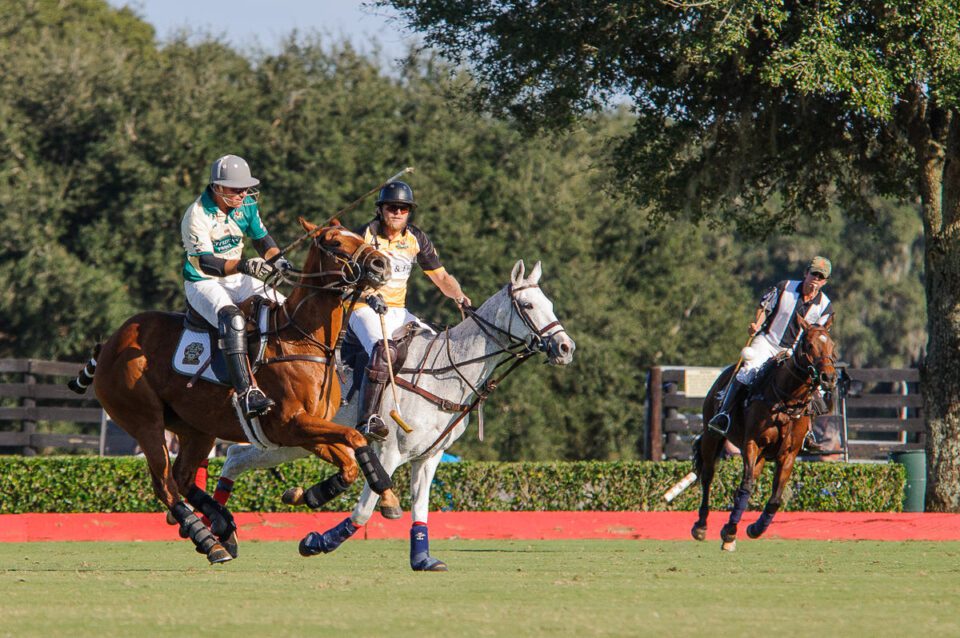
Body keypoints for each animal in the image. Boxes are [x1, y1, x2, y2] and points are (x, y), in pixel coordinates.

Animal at [70, 221, 394, 564]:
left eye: (359, 237)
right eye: (334, 242)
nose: (381, 265)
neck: (304, 340)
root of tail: (110, 344)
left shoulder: (306, 430)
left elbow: (348, 462)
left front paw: (307, 494)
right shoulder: (290, 424)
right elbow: (354, 437)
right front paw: (378, 485)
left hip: (196, 428)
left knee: (183, 476)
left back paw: (222, 524)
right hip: (145, 421)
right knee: (165, 484)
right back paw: (209, 540)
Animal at [219, 260, 568, 568]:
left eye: (550, 303)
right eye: (528, 305)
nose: (566, 347)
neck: (446, 373)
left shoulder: (428, 457)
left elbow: (421, 509)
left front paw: (423, 559)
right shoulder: (389, 451)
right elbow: (365, 509)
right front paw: (315, 542)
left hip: (287, 442)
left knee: (236, 456)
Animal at [692, 318, 836, 552]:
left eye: (832, 345)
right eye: (809, 345)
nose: (829, 377)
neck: (787, 401)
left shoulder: (789, 453)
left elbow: (775, 498)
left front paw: (754, 529)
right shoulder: (752, 443)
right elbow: (746, 486)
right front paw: (729, 531)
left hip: (759, 457)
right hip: (711, 435)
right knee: (707, 475)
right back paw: (702, 526)